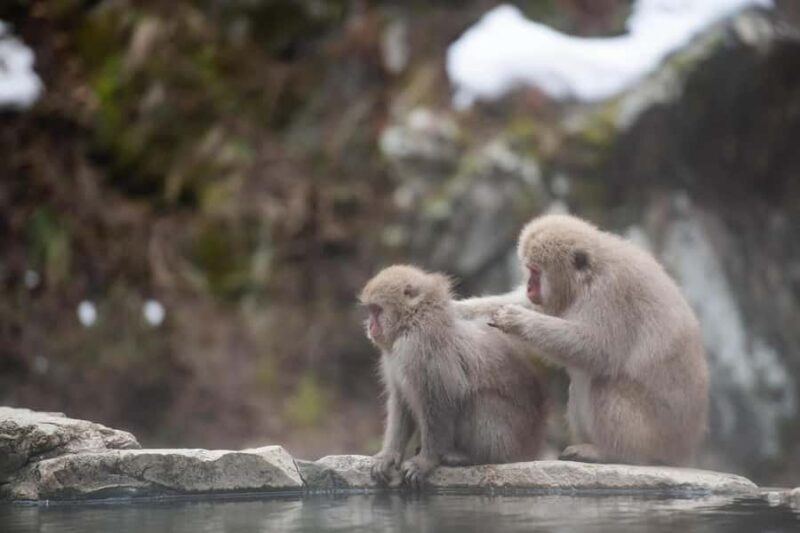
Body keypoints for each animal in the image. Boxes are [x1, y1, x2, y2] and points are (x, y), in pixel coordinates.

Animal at [360, 265, 547, 487]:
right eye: (371, 310)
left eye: (377, 310)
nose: (370, 327)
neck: (413, 321)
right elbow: (401, 401)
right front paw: (389, 455)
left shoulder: (420, 347)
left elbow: (440, 398)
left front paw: (425, 461)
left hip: (511, 439)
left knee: (478, 399)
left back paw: (472, 457)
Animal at [458, 214, 709, 466]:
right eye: (529, 270)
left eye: (536, 272)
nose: (529, 287)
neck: (590, 276)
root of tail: (683, 450)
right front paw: (460, 309)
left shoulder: (609, 292)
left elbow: (596, 348)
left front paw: (517, 320)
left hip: (655, 437)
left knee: (602, 381)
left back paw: (612, 453)